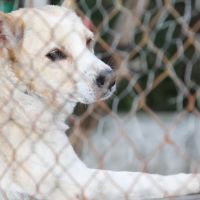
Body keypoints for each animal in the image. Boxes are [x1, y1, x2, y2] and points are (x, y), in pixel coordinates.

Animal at [0, 0, 199, 199]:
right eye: (55, 54)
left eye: (88, 42)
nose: (111, 79)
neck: (19, 90)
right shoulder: (78, 180)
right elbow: (147, 179)